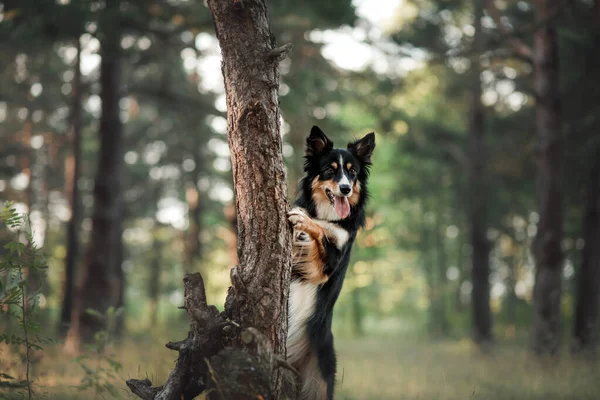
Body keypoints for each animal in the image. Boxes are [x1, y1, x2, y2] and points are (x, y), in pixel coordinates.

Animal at [286, 126, 376, 400]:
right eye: (330, 170)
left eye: (353, 172)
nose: (346, 188)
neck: (328, 215)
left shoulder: (327, 265)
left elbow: (321, 232)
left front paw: (304, 219)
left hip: (321, 381)